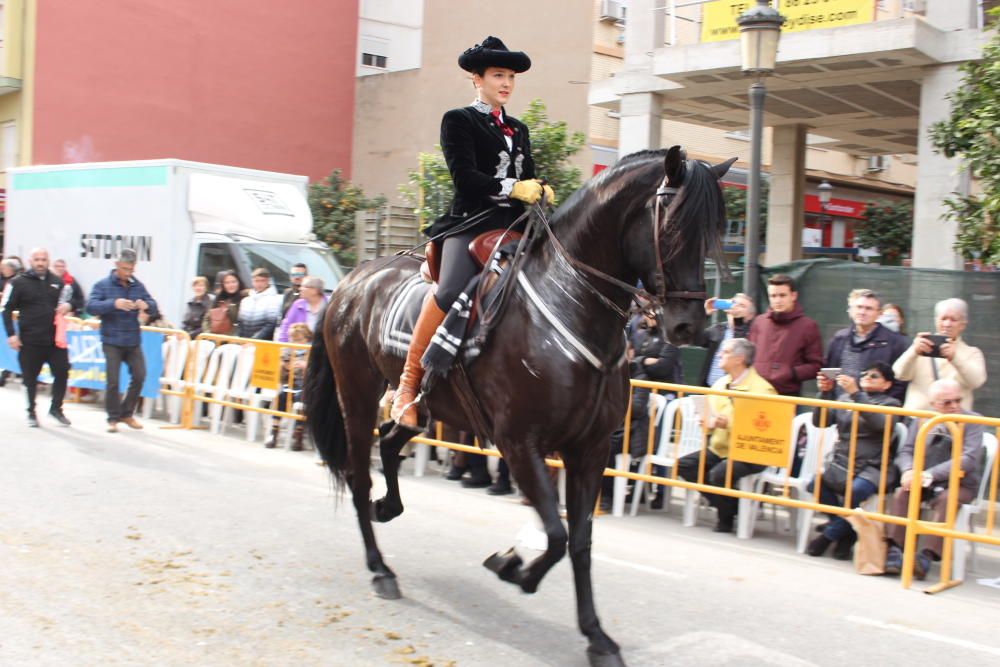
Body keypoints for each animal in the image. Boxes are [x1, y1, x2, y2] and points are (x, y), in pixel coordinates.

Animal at [304, 147, 736, 667]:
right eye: (671, 226)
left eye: (715, 230)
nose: (688, 327)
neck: (569, 305)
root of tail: (351, 281)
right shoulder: (519, 443)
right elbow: (556, 534)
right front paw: (514, 568)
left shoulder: (589, 449)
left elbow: (580, 540)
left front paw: (596, 636)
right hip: (357, 393)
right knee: (358, 473)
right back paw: (380, 567)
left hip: (429, 408)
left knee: (389, 443)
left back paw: (389, 506)